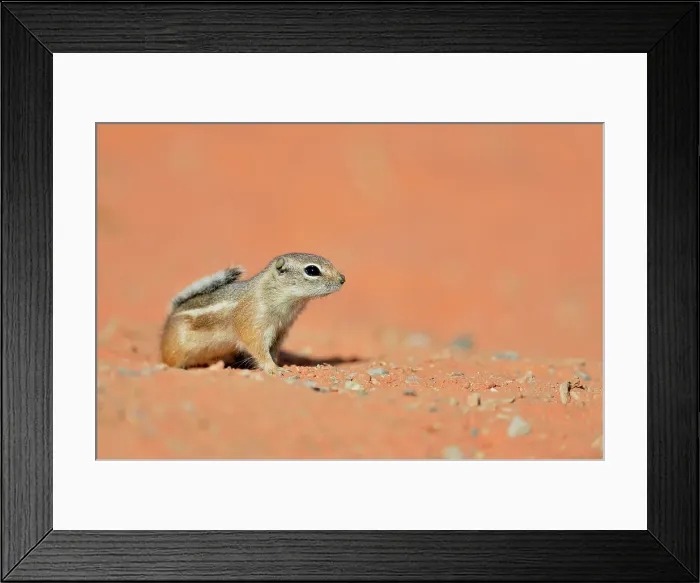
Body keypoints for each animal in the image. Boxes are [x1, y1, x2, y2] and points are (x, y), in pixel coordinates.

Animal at [160, 253, 345, 374]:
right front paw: (274, 369)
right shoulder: (252, 324)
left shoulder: (280, 331)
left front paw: (278, 364)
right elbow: (258, 349)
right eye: (312, 270)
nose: (342, 279)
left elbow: (273, 351)